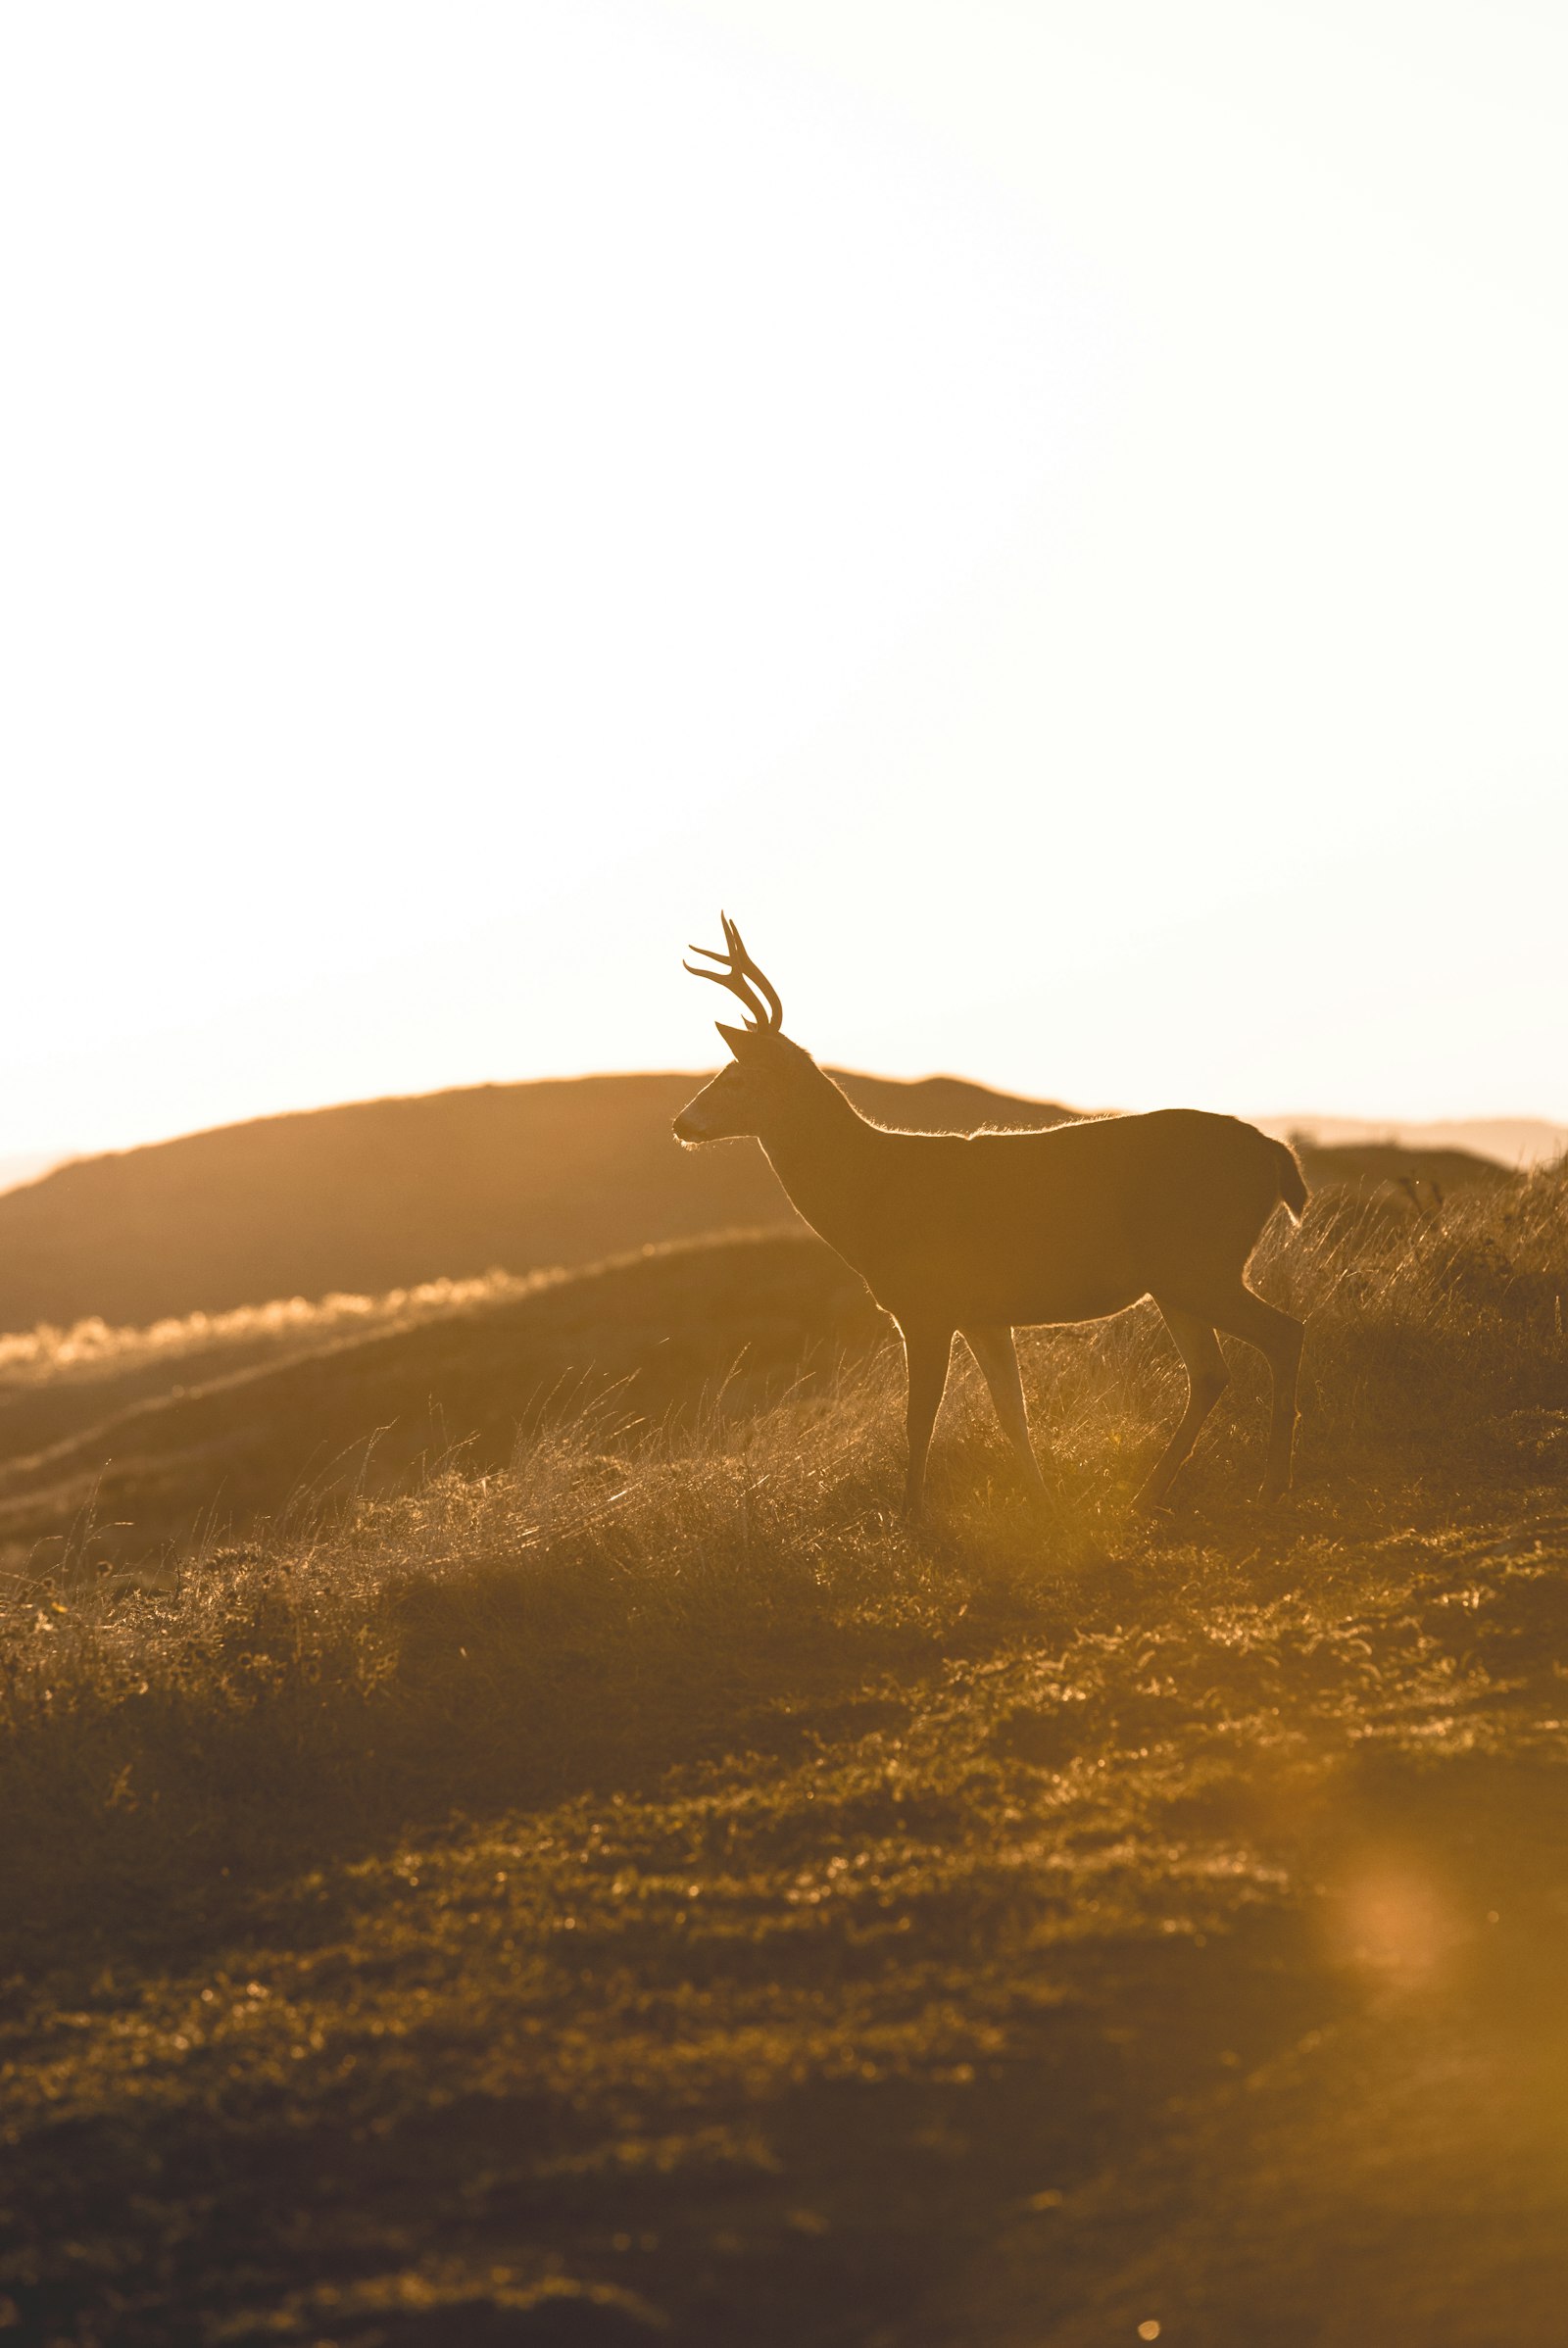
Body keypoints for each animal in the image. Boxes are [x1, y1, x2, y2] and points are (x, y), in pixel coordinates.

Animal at [675, 905, 1314, 1512]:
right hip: (1177, 1278)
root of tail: (1274, 1152)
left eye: (736, 1078)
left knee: (1285, 1333)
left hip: (1198, 1262)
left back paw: (1272, 1485)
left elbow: (919, 1419)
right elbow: (1013, 1414)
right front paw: (1045, 1506)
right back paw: (1150, 1494)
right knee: (1211, 1372)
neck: (870, 1191)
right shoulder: (983, 1313)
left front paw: (913, 1516)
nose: (682, 1122)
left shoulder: (926, 1305)